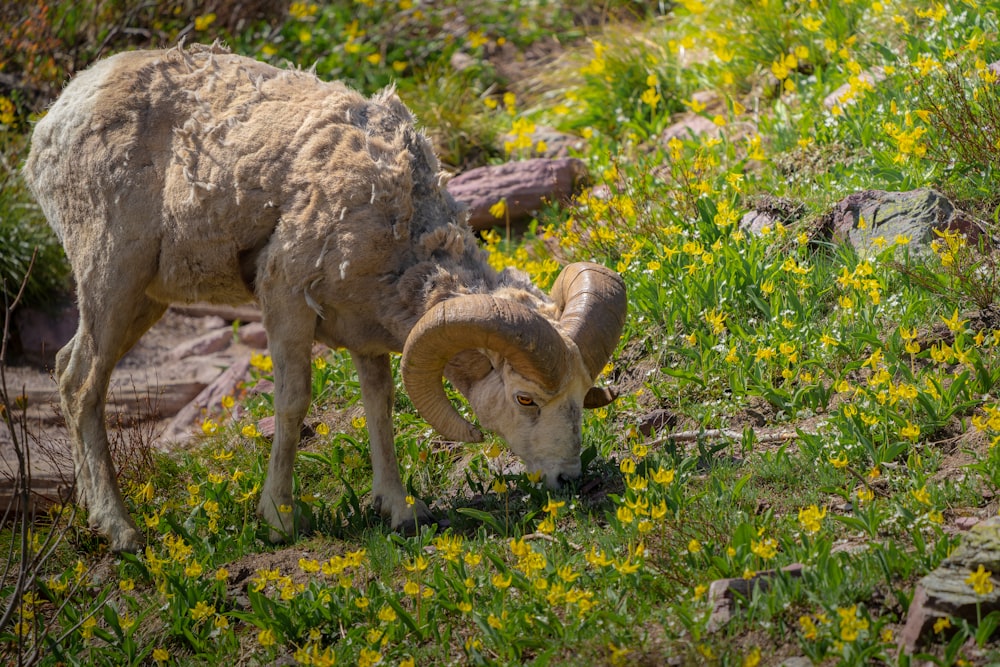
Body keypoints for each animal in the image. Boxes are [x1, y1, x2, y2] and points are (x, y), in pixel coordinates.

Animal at [23, 43, 624, 552]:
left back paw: (92, 513)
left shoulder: (367, 333)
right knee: (82, 385)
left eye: (581, 394)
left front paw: (399, 511)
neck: (396, 214)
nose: (568, 478)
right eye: (526, 399)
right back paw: (120, 531)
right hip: (110, 276)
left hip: (144, 298)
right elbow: (293, 403)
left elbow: (380, 406)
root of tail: (58, 116)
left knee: (66, 372)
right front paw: (279, 520)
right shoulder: (286, 299)